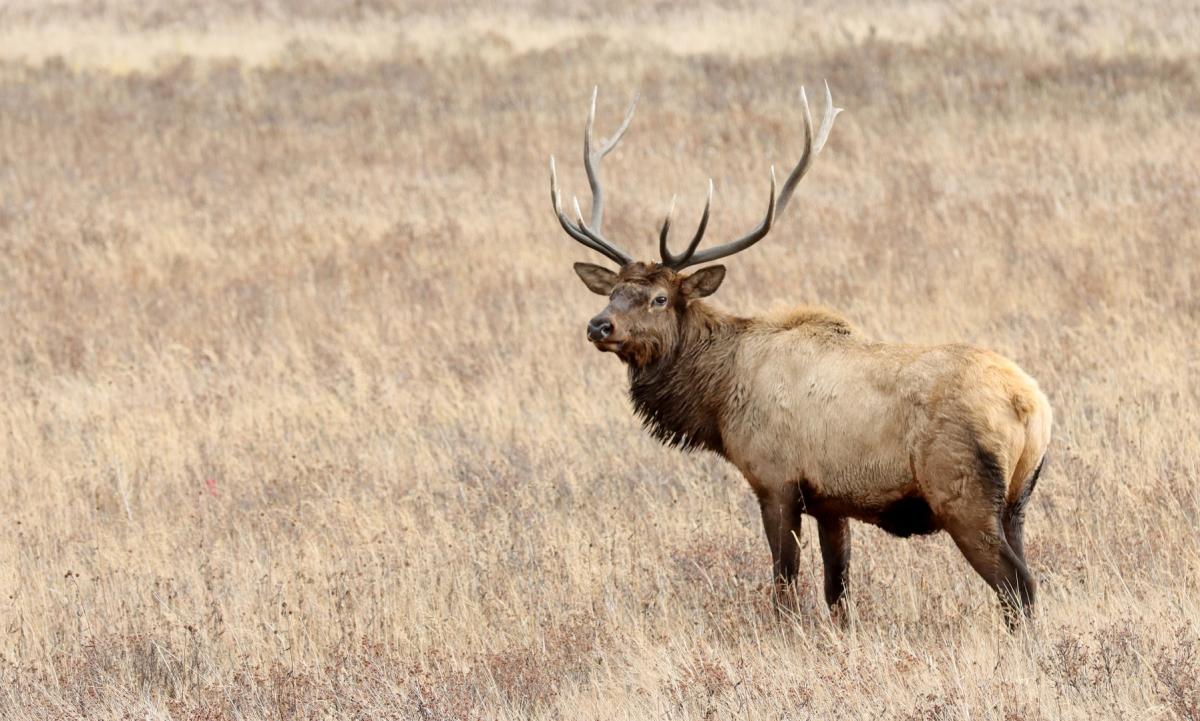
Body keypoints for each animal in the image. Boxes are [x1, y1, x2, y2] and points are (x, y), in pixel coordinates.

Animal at [548, 84, 1053, 628]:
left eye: (660, 298)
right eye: (614, 291)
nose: (599, 325)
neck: (719, 399)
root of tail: (1031, 407)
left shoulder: (775, 478)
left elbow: (785, 584)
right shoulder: (832, 500)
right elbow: (838, 591)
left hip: (963, 493)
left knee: (1019, 586)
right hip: (1018, 501)